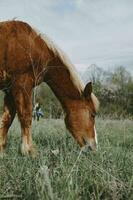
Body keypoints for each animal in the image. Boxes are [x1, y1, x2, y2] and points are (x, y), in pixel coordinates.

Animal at [0, 20, 98, 155]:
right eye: (92, 114)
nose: (94, 147)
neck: (34, 46)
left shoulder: (10, 90)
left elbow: (7, 119)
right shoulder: (22, 85)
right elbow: (26, 116)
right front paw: (29, 151)